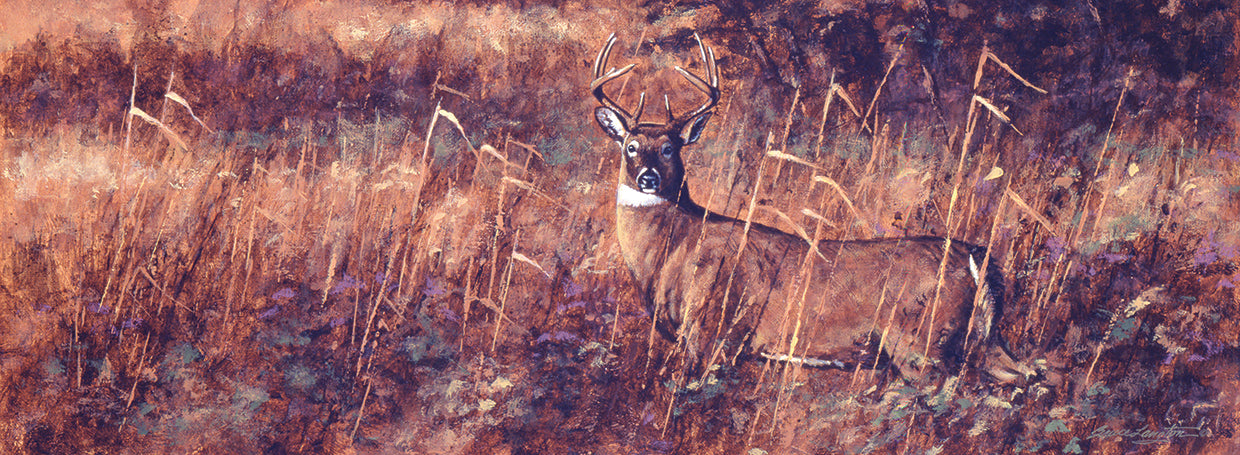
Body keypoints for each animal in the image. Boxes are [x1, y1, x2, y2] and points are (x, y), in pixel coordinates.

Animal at [590, 33, 1033, 384]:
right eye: (630, 146)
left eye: (669, 148)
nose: (648, 178)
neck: (676, 245)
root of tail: (974, 258)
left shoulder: (710, 329)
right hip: (983, 339)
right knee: (1027, 376)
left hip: (920, 342)